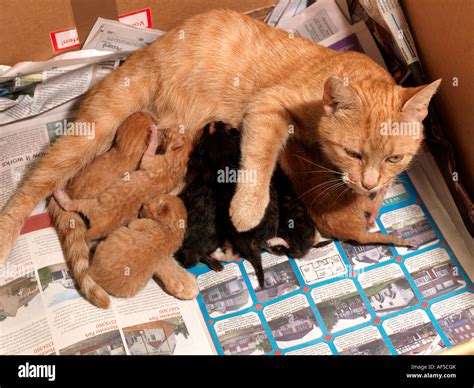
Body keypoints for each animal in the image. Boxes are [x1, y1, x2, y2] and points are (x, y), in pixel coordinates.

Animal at [0, 10, 440, 264]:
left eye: (395, 159)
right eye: (353, 152)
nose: (369, 183)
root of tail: (139, 54)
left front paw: (374, 197)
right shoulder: (268, 107)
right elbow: (259, 159)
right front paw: (247, 209)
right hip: (95, 128)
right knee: (32, 188)